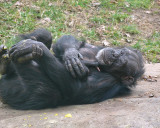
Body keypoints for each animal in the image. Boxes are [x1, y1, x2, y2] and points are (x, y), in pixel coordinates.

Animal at [0, 28, 144, 109]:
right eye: (122, 52)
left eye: (121, 62)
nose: (114, 54)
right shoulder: (97, 49)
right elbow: (74, 42)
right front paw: (71, 54)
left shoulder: (107, 81)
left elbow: (75, 87)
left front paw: (35, 47)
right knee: (47, 34)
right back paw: (5, 62)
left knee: (50, 93)